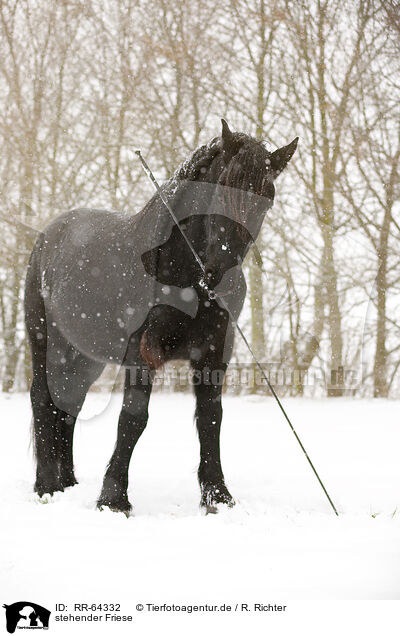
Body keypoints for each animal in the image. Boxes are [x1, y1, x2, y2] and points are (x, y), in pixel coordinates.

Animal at [23, 119, 296, 516]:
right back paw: (46, 487)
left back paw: (68, 482)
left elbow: (211, 418)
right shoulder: (141, 354)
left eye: (268, 197)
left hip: (86, 357)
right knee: (43, 399)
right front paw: (113, 499)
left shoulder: (213, 355)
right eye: (220, 187)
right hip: (47, 342)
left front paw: (217, 496)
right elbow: (133, 419)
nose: (220, 275)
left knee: (69, 403)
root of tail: (48, 235)